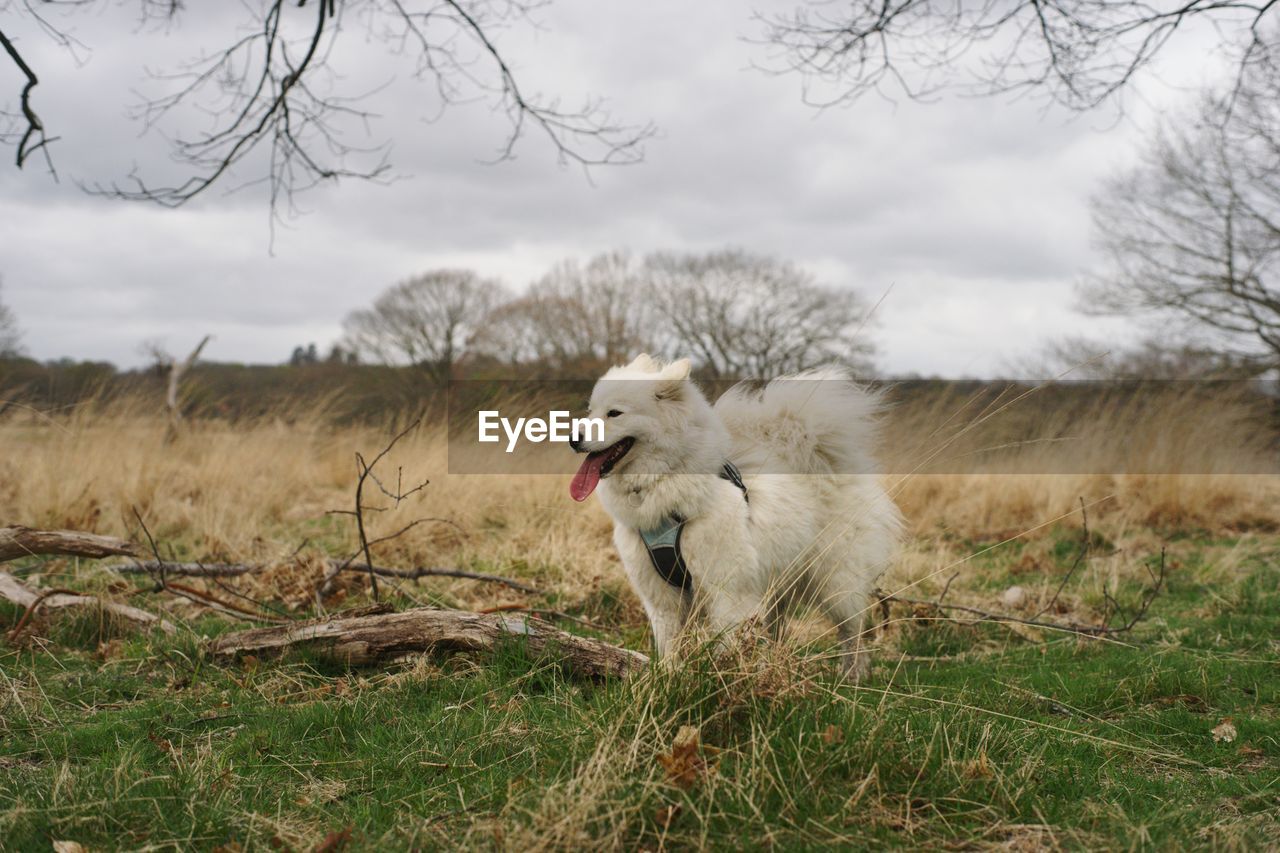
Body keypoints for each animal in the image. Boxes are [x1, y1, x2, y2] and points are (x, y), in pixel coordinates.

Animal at [570, 353, 901, 676]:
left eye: (615, 413)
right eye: (590, 410)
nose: (573, 438)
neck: (664, 482)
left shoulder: (727, 591)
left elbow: (725, 645)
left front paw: (722, 680)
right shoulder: (662, 598)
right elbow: (671, 649)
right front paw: (669, 680)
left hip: (837, 585)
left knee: (854, 634)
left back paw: (851, 678)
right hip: (778, 583)